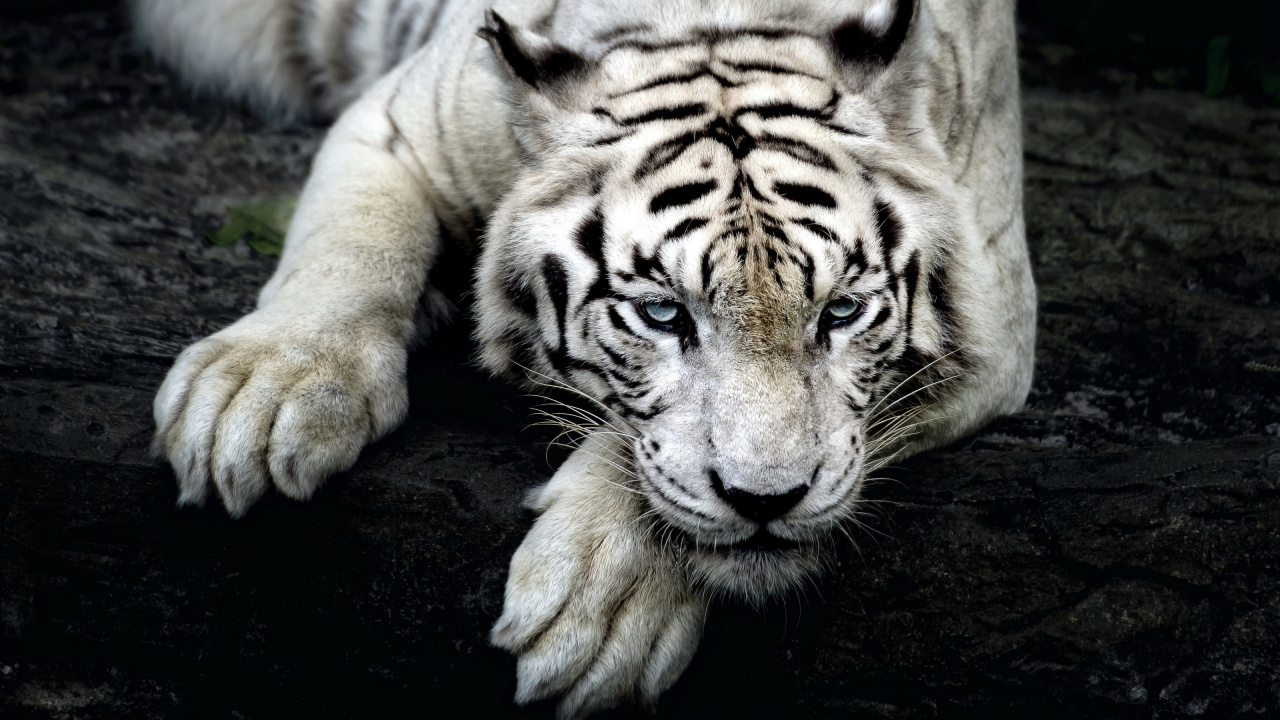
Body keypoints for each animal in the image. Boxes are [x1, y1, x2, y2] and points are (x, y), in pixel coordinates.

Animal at [135, 0, 1035, 716]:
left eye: (841, 311)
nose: (767, 500)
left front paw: (601, 604)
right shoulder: (396, 123)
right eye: (663, 313)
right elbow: (349, 247)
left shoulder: (997, 319)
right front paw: (256, 397)